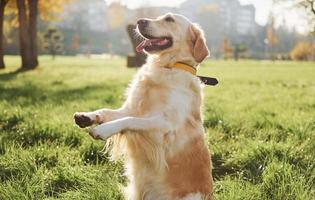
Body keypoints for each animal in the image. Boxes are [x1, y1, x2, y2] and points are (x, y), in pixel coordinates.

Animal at [74, 12, 215, 200]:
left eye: (169, 19)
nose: (140, 21)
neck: (167, 66)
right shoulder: (131, 108)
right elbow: (108, 112)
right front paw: (86, 117)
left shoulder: (165, 126)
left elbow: (130, 120)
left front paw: (103, 130)